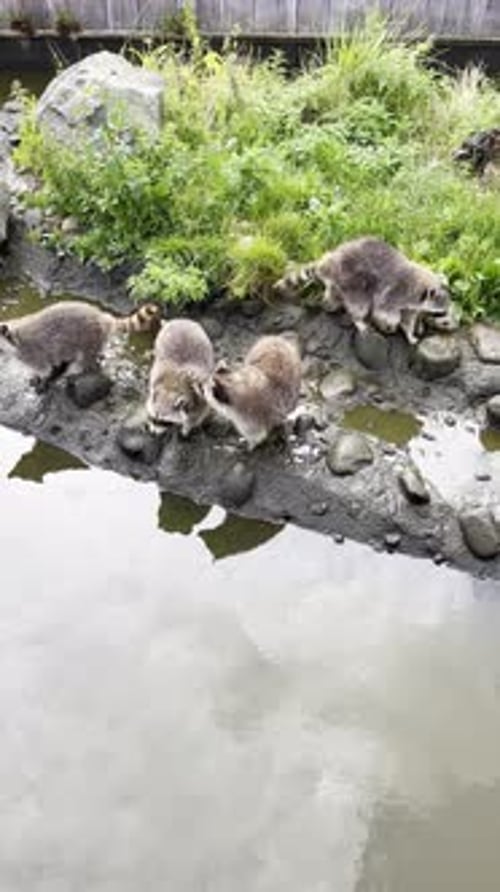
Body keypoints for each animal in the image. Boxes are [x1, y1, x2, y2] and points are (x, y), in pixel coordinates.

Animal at [0, 300, 160, 390]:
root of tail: (102, 317)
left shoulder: (34, 352)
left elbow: (44, 368)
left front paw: (44, 380)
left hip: (88, 337)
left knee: (86, 358)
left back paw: (78, 369)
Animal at [274, 237, 451, 345]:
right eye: (440, 313)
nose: (452, 326)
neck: (421, 287)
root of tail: (330, 260)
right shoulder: (396, 293)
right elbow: (385, 310)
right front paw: (391, 323)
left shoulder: (412, 304)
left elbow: (408, 319)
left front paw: (410, 333)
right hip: (353, 280)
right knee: (360, 303)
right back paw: (358, 320)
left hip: (340, 281)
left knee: (334, 294)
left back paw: (329, 302)